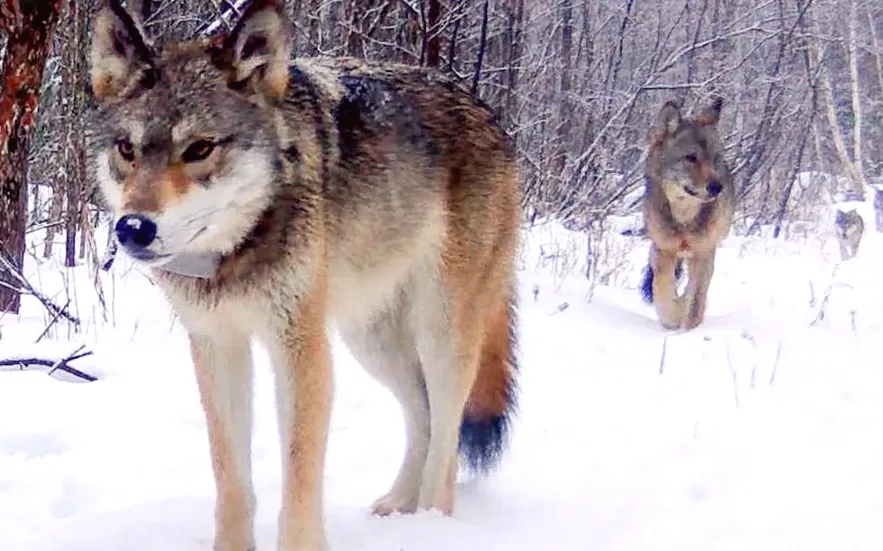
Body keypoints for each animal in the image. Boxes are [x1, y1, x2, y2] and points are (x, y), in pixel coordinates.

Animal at [86, 0, 521, 549]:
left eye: (200, 149)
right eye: (127, 149)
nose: (134, 228)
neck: (236, 256)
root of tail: (489, 112)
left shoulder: (300, 346)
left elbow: (298, 481)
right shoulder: (216, 344)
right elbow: (231, 480)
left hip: (441, 334)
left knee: (447, 437)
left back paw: (432, 526)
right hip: (370, 340)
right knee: (421, 414)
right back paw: (400, 509)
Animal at [639, 96, 736, 331]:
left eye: (715, 158)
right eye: (691, 158)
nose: (717, 187)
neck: (684, 219)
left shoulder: (704, 253)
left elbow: (695, 300)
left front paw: (688, 329)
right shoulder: (664, 251)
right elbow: (662, 290)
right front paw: (672, 319)